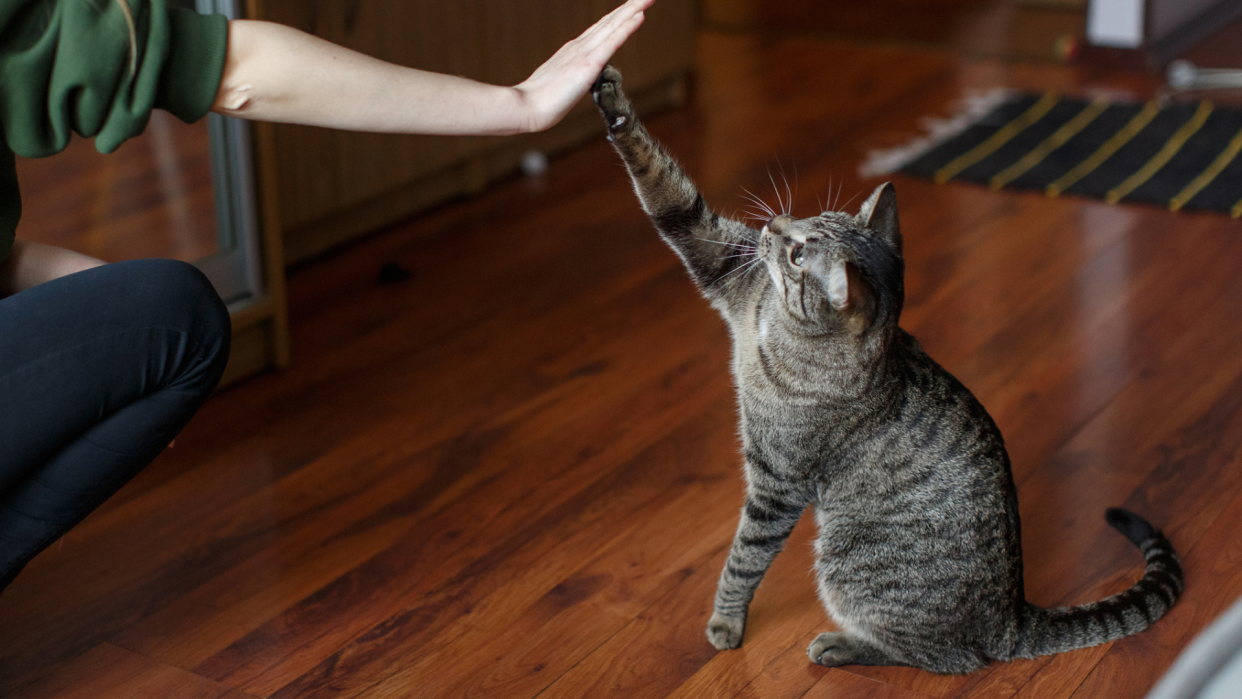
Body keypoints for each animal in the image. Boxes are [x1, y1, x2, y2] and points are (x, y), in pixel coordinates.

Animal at [591, 68, 1182, 675]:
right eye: (808, 218)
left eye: (799, 253)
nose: (775, 221)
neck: (776, 325)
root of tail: (1013, 618)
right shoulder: (722, 257)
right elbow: (664, 185)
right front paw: (610, 96)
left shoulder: (777, 483)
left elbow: (743, 559)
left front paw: (726, 622)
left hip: (850, 562)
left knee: (947, 657)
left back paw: (841, 645)